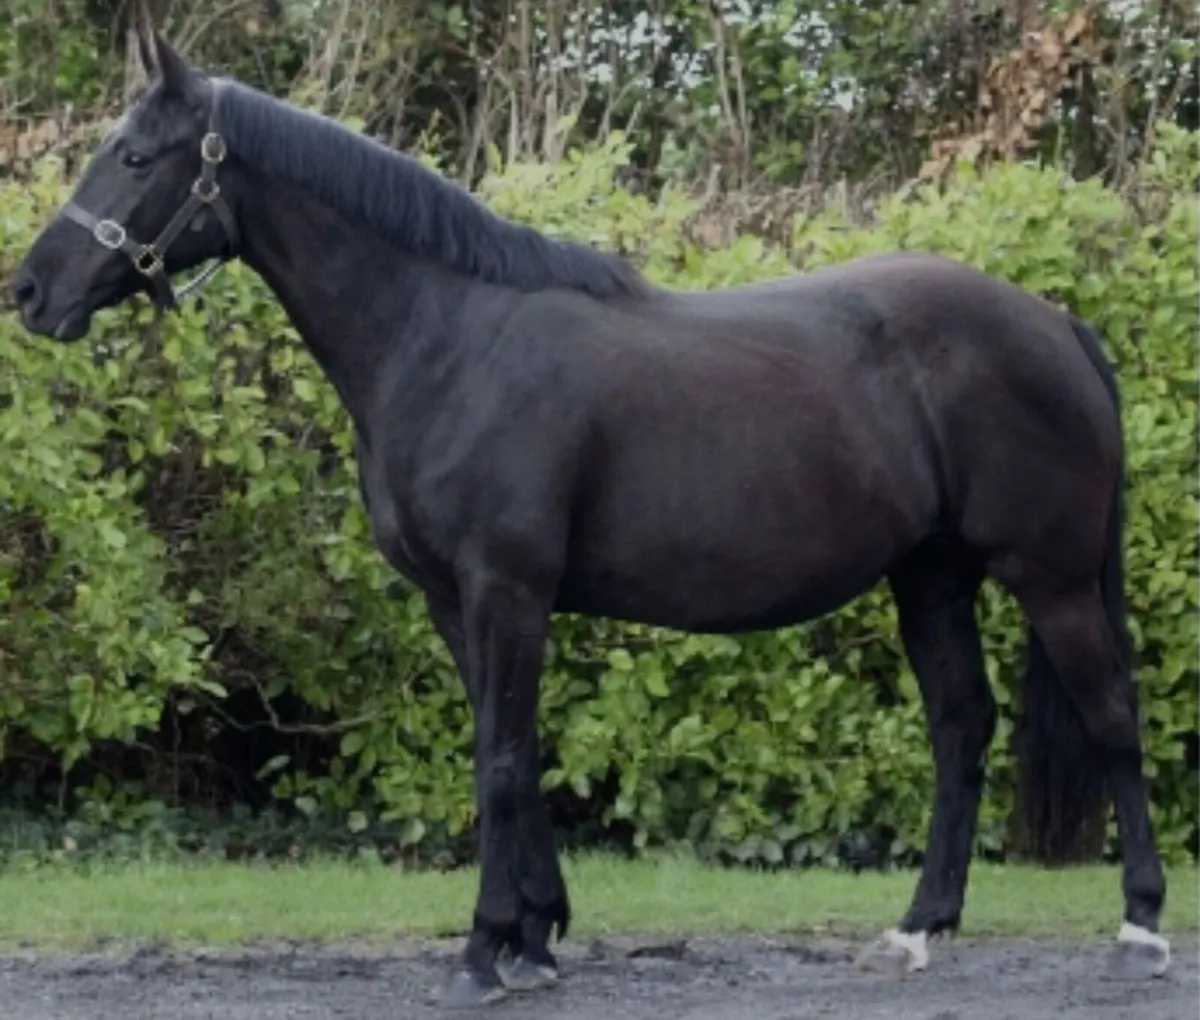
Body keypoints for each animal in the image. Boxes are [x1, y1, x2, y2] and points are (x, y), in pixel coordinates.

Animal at [11, 16, 1170, 1007]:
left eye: (135, 158)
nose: (29, 293)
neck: (446, 335)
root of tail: (1058, 322)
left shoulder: (507, 590)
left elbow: (500, 760)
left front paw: (484, 950)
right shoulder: (456, 602)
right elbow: (510, 752)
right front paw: (535, 937)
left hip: (1054, 578)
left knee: (1112, 714)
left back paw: (1141, 927)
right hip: (930, 575)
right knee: (962, 725)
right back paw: (918, 927)